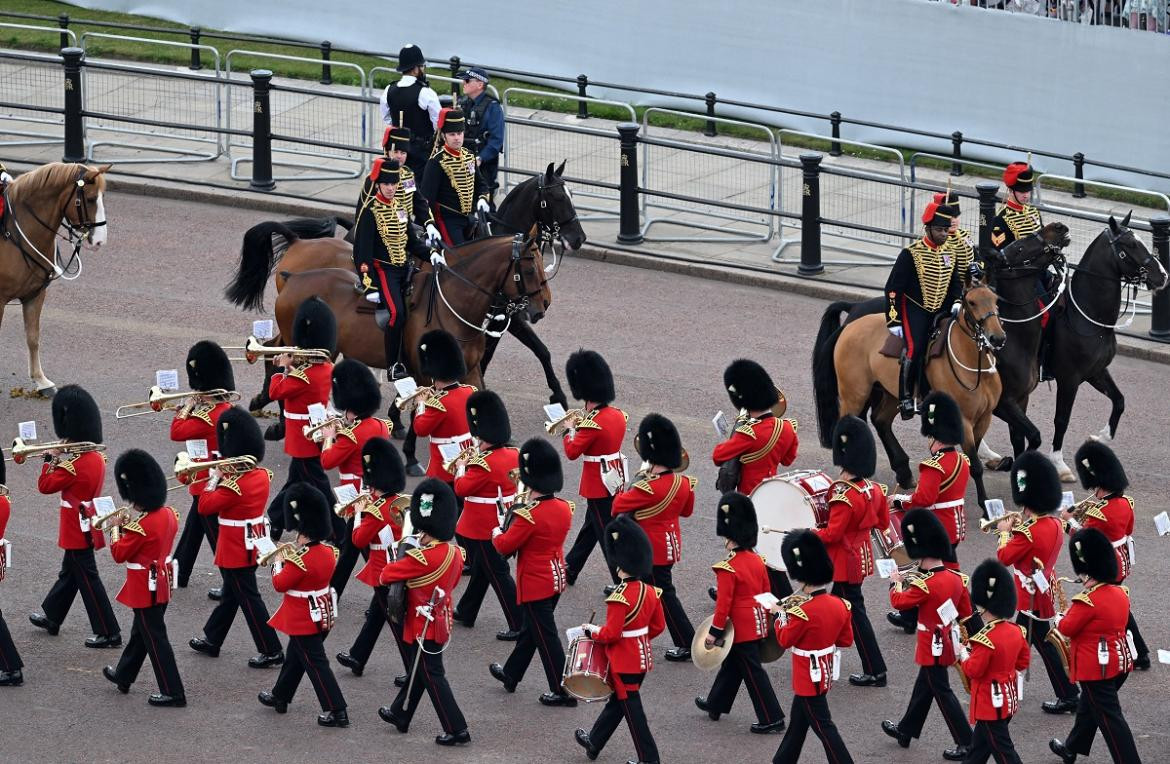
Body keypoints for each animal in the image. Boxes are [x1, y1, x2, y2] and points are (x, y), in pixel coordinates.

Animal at [0, 164, 110, 395]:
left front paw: (41, 380)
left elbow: (33, 337)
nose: (100, 241)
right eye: (90, 199)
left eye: (102, 197)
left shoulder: (35, 295)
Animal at [814, 283, 1006, 510]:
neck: (975, 367)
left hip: (890, 393)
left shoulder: (984, 417)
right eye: (972, 302)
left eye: (995, 299)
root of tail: (850, 326)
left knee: (880, 421)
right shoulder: (964, 419)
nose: (997, 338)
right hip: (855, 394)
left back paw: (903, 473)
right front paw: (985, 504)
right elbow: (974, 464)